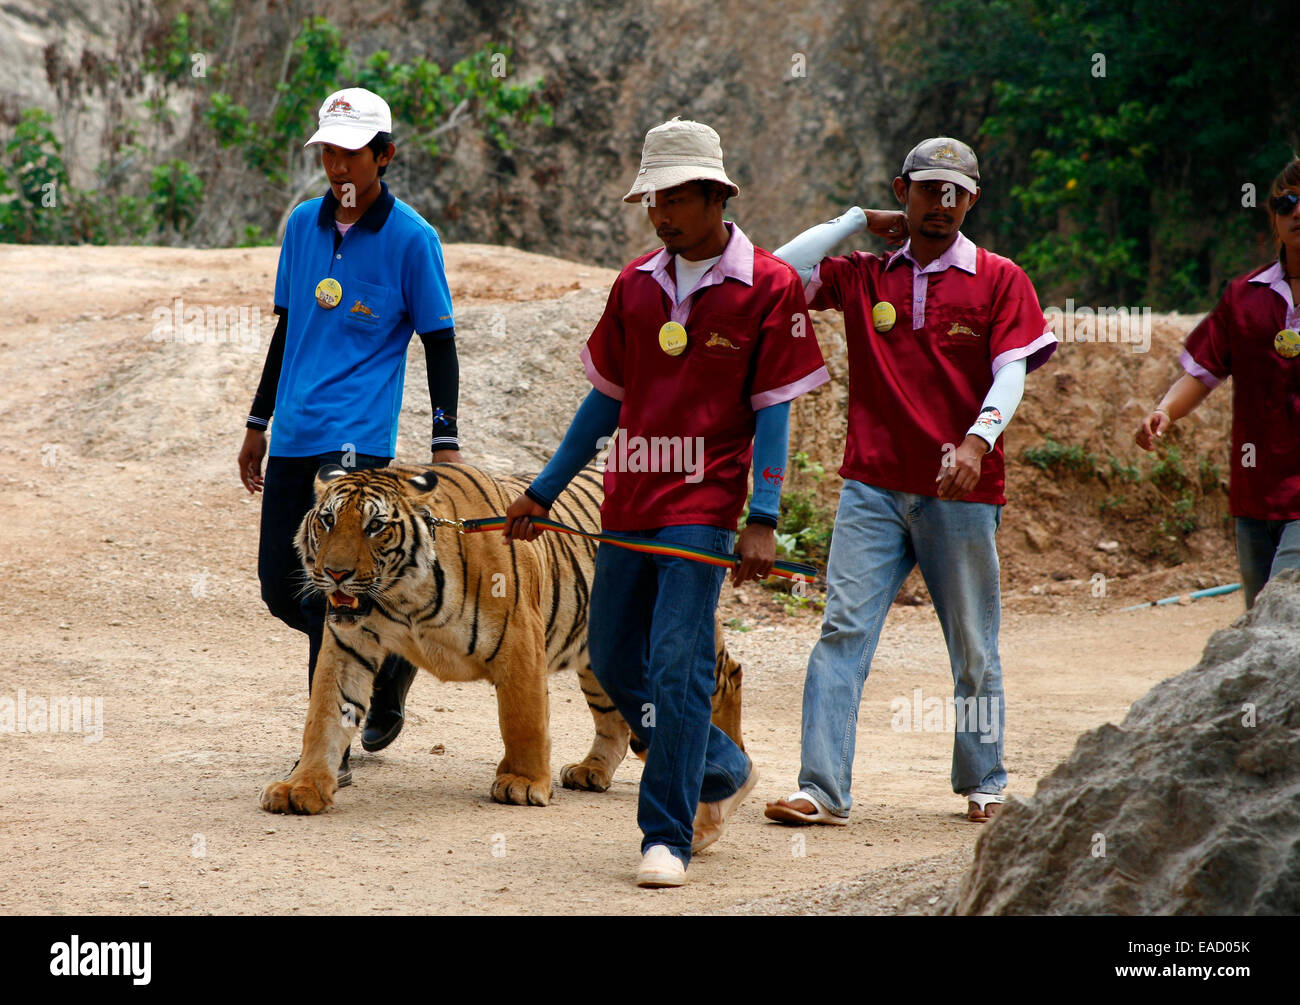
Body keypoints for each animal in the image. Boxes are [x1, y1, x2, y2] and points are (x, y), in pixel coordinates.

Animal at [258, 462, 743, 816]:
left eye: (375, 527)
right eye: (327, 521)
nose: (335, 573)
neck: (403, 597)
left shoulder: (518, 639)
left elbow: (522, 719)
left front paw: (523, 783)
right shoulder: (349, 645)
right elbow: (324, 717)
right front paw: (301, 787)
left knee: (727, 675)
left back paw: (727, 760)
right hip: (601, 651)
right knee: (613, 719)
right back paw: (591, 771)